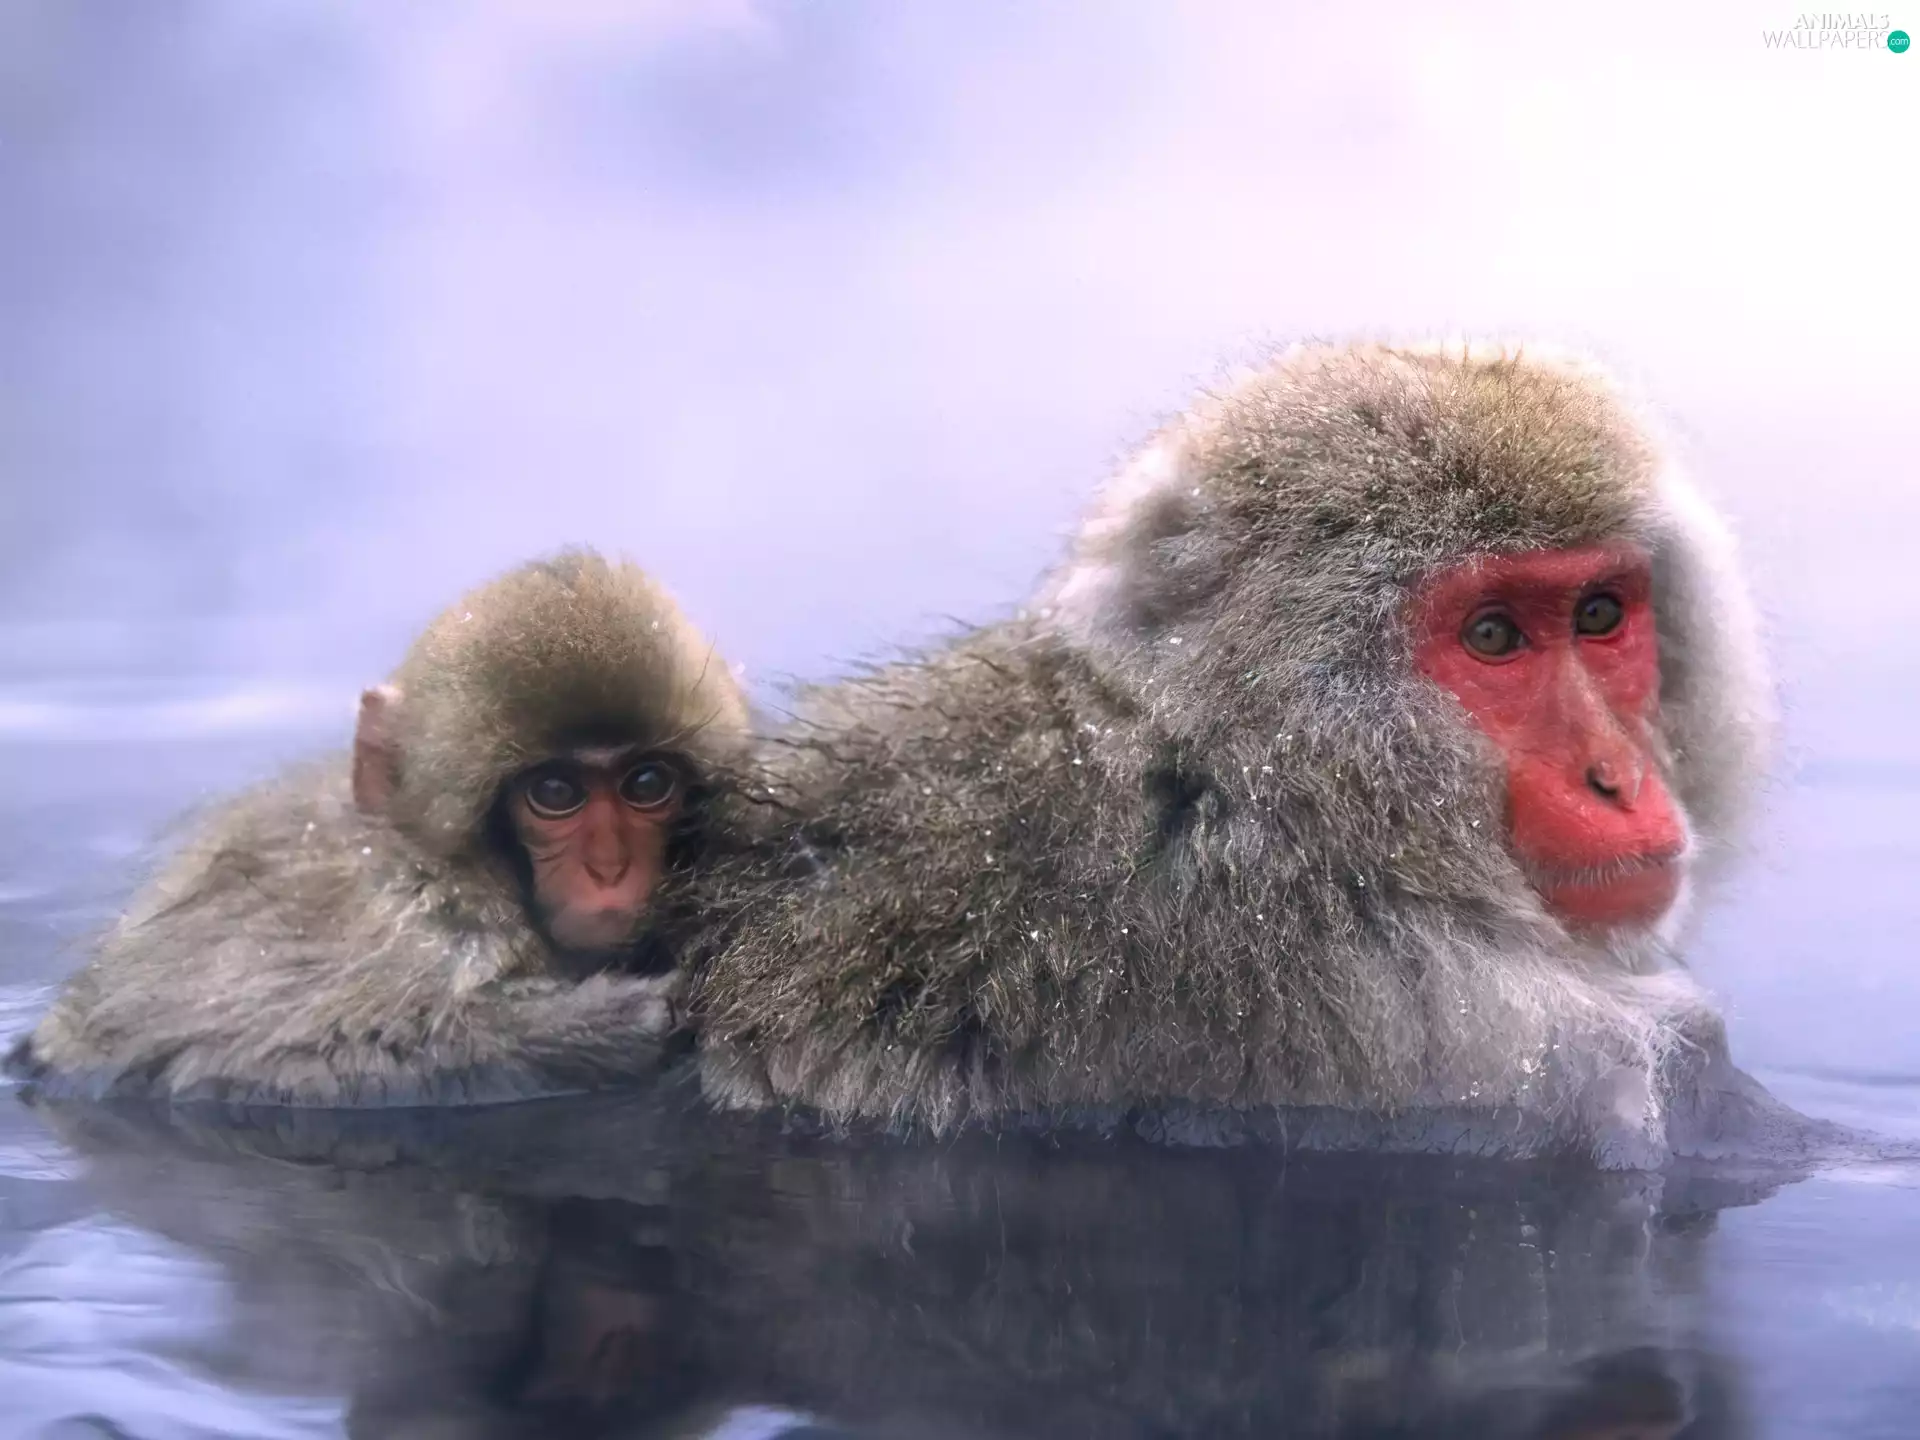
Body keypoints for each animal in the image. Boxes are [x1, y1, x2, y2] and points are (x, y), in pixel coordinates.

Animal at [7, 549, 749, 1106]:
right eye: (556, 793)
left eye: (646, 785)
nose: (608, 867)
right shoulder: (411, 929)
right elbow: (233, 1059)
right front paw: (596, 1029)